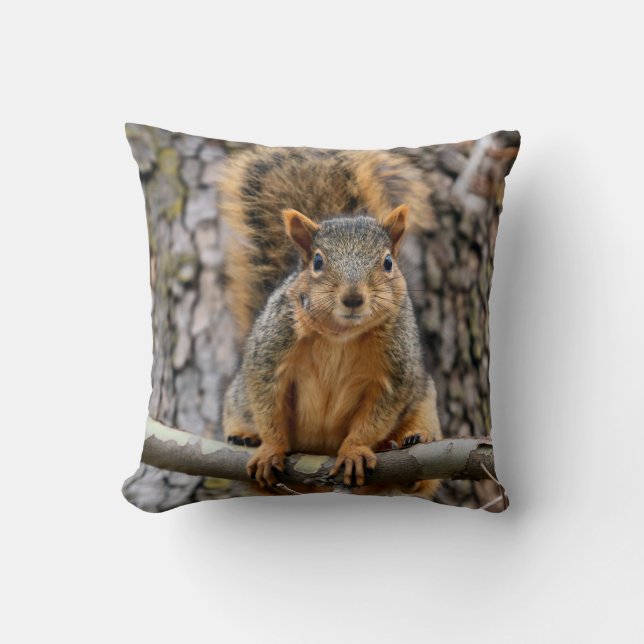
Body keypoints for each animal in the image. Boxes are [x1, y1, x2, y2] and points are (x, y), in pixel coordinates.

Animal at [218, 147, 442, 498]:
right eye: (318, 261)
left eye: (388, 262)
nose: (352, 298)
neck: (340, 334)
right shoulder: (271, 351)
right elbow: (267, 402)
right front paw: (269, 448)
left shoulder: (395, 371)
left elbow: (376, 416)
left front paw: (354, 451)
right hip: (237, 400)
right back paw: (245, 436)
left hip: (425, 403)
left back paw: (408, 445)